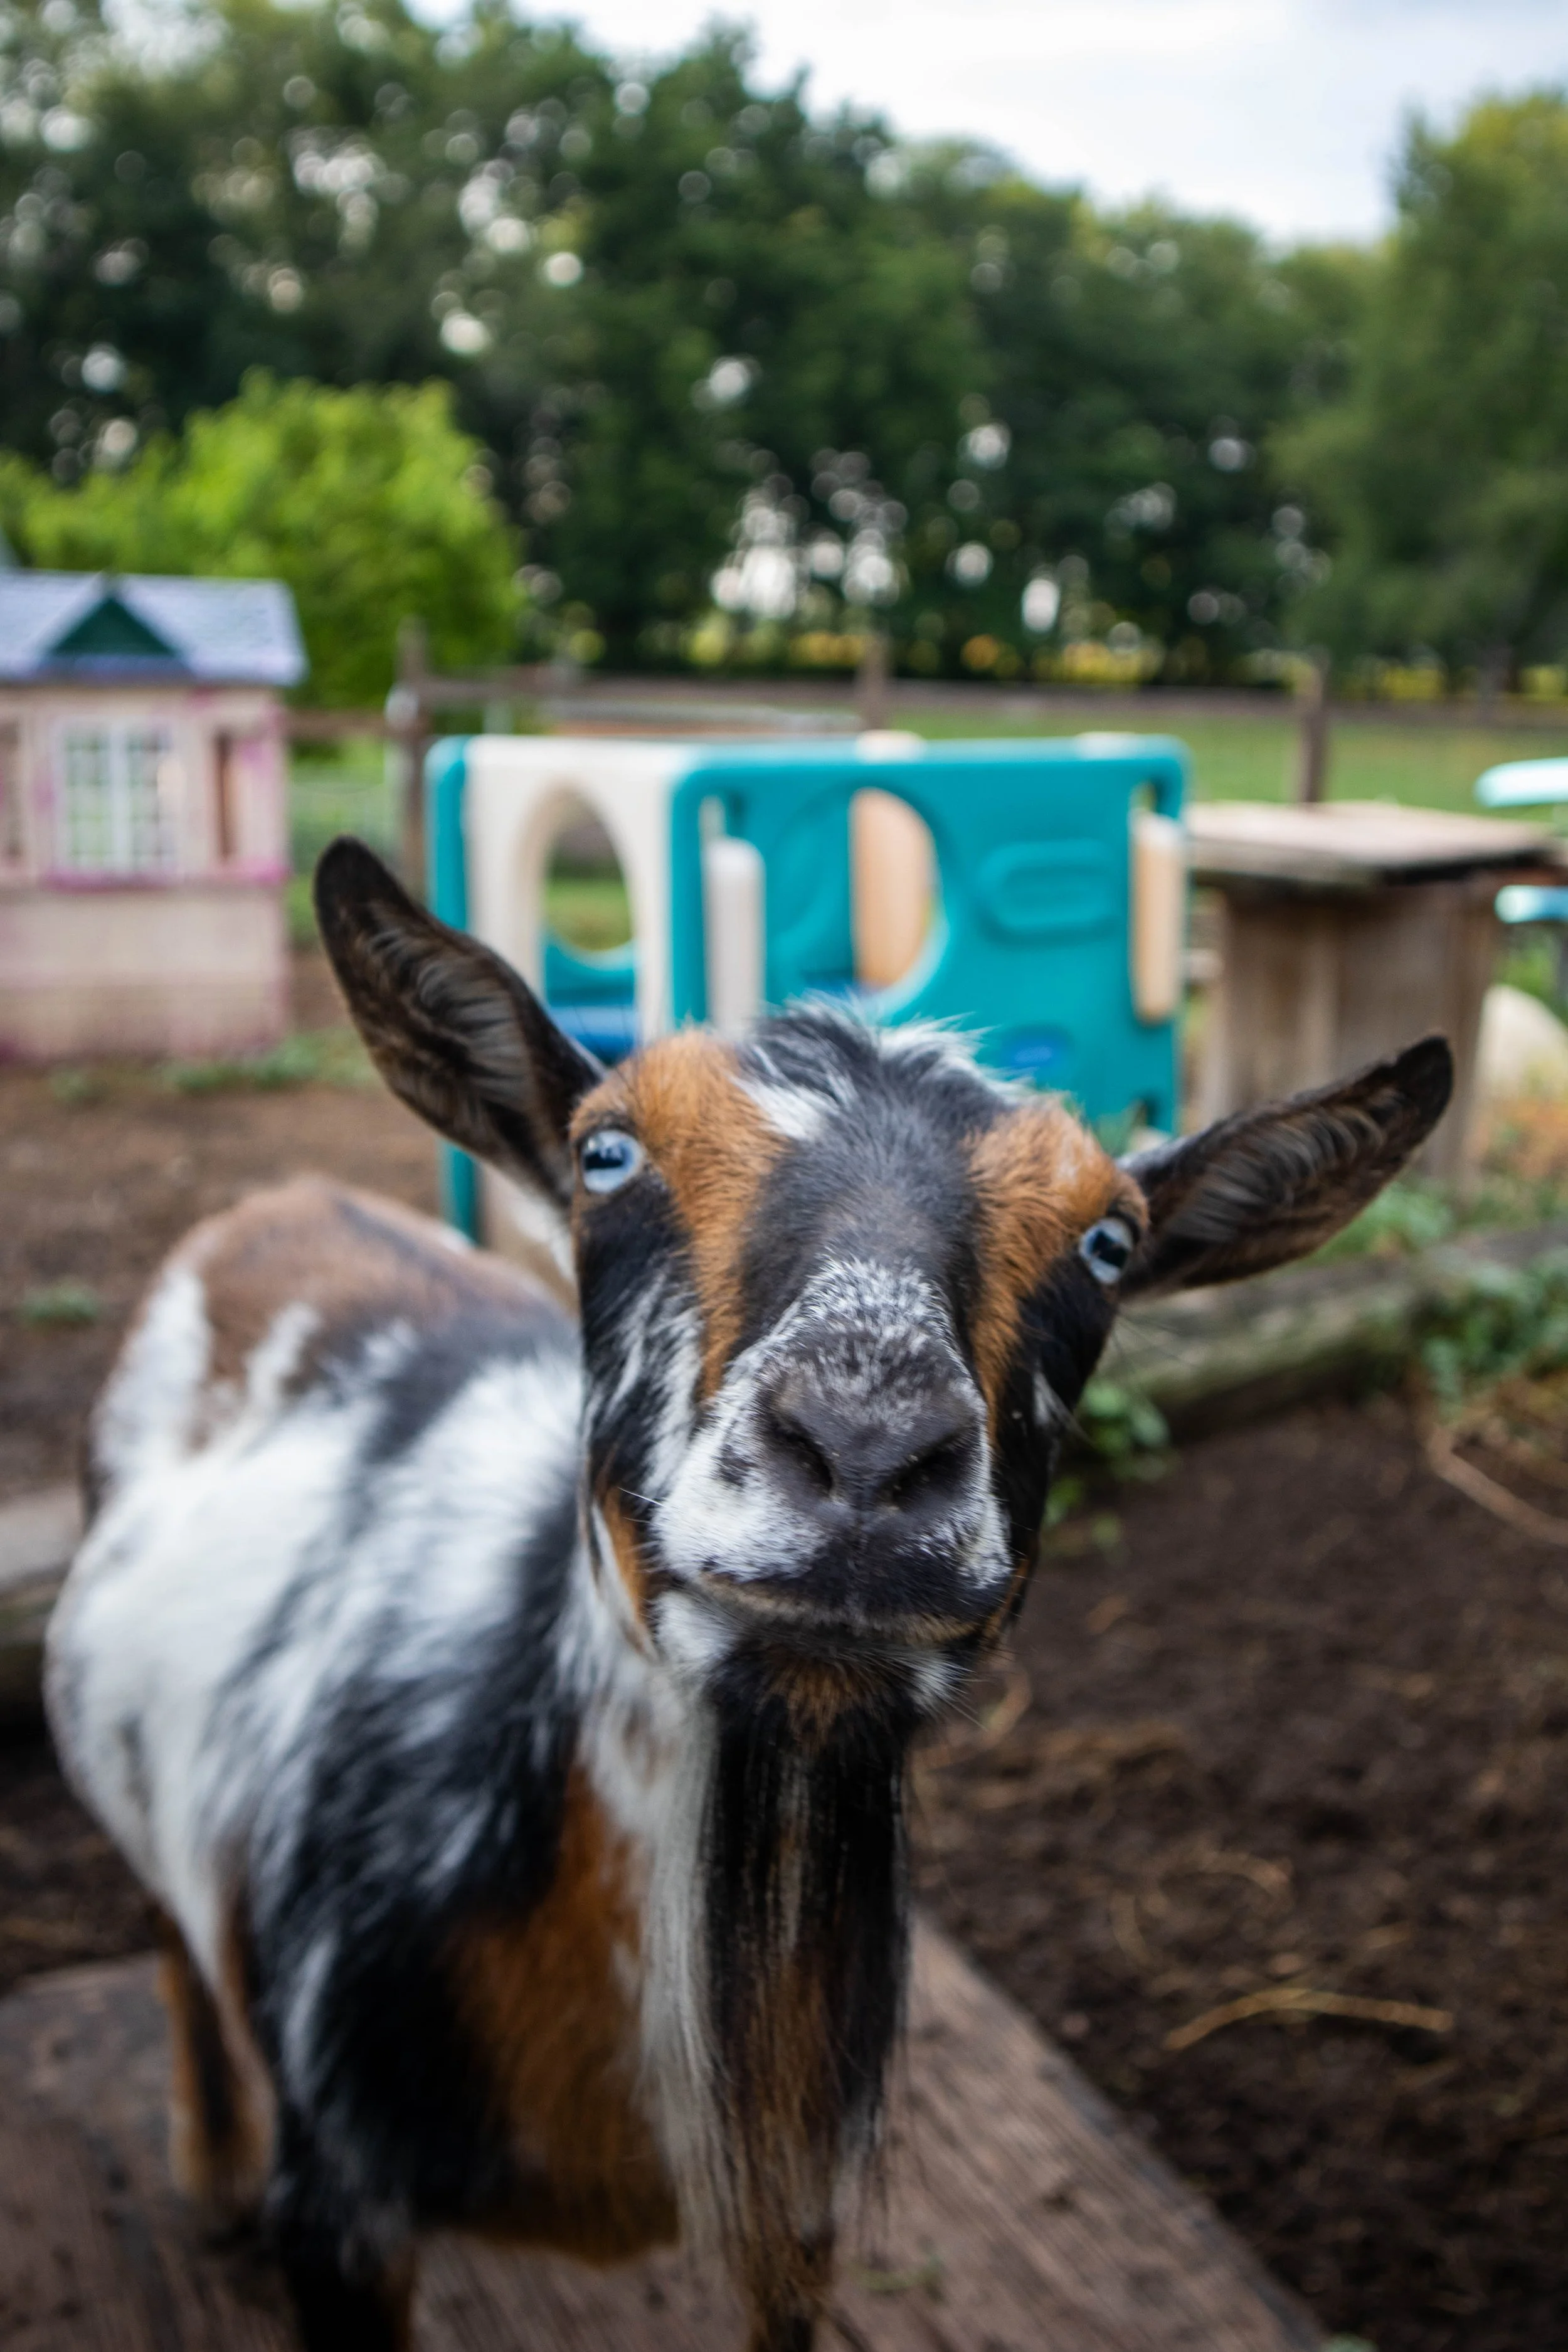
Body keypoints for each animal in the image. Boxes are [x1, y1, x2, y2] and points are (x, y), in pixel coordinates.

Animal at [46, 836, 1452, 2352]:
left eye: (1111, 1244)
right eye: (605, 1152)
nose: (867, 1452)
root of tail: (279, 1201)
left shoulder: (798, 2214)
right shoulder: (342, 2202)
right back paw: (209, 2171)